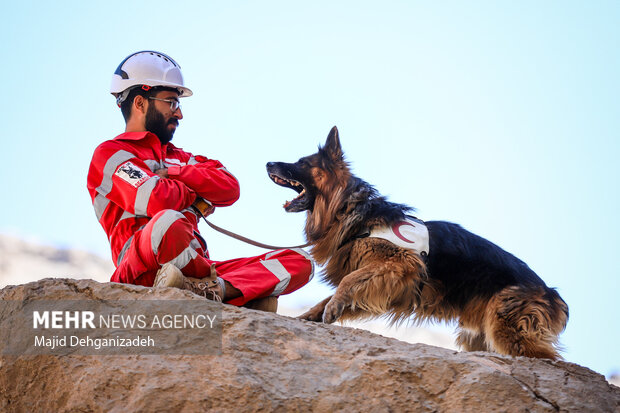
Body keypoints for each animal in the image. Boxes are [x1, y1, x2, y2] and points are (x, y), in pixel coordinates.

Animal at [264, 127, 568, 358]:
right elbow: (339, 291)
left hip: (506, 329)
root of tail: (552, 293)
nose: (267, 163)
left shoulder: (400, 264)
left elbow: (348, 282)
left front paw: (333, 306)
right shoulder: (384, 283)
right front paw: (312, 315)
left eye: (302, 163)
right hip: (477, 336)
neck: (351, 210)